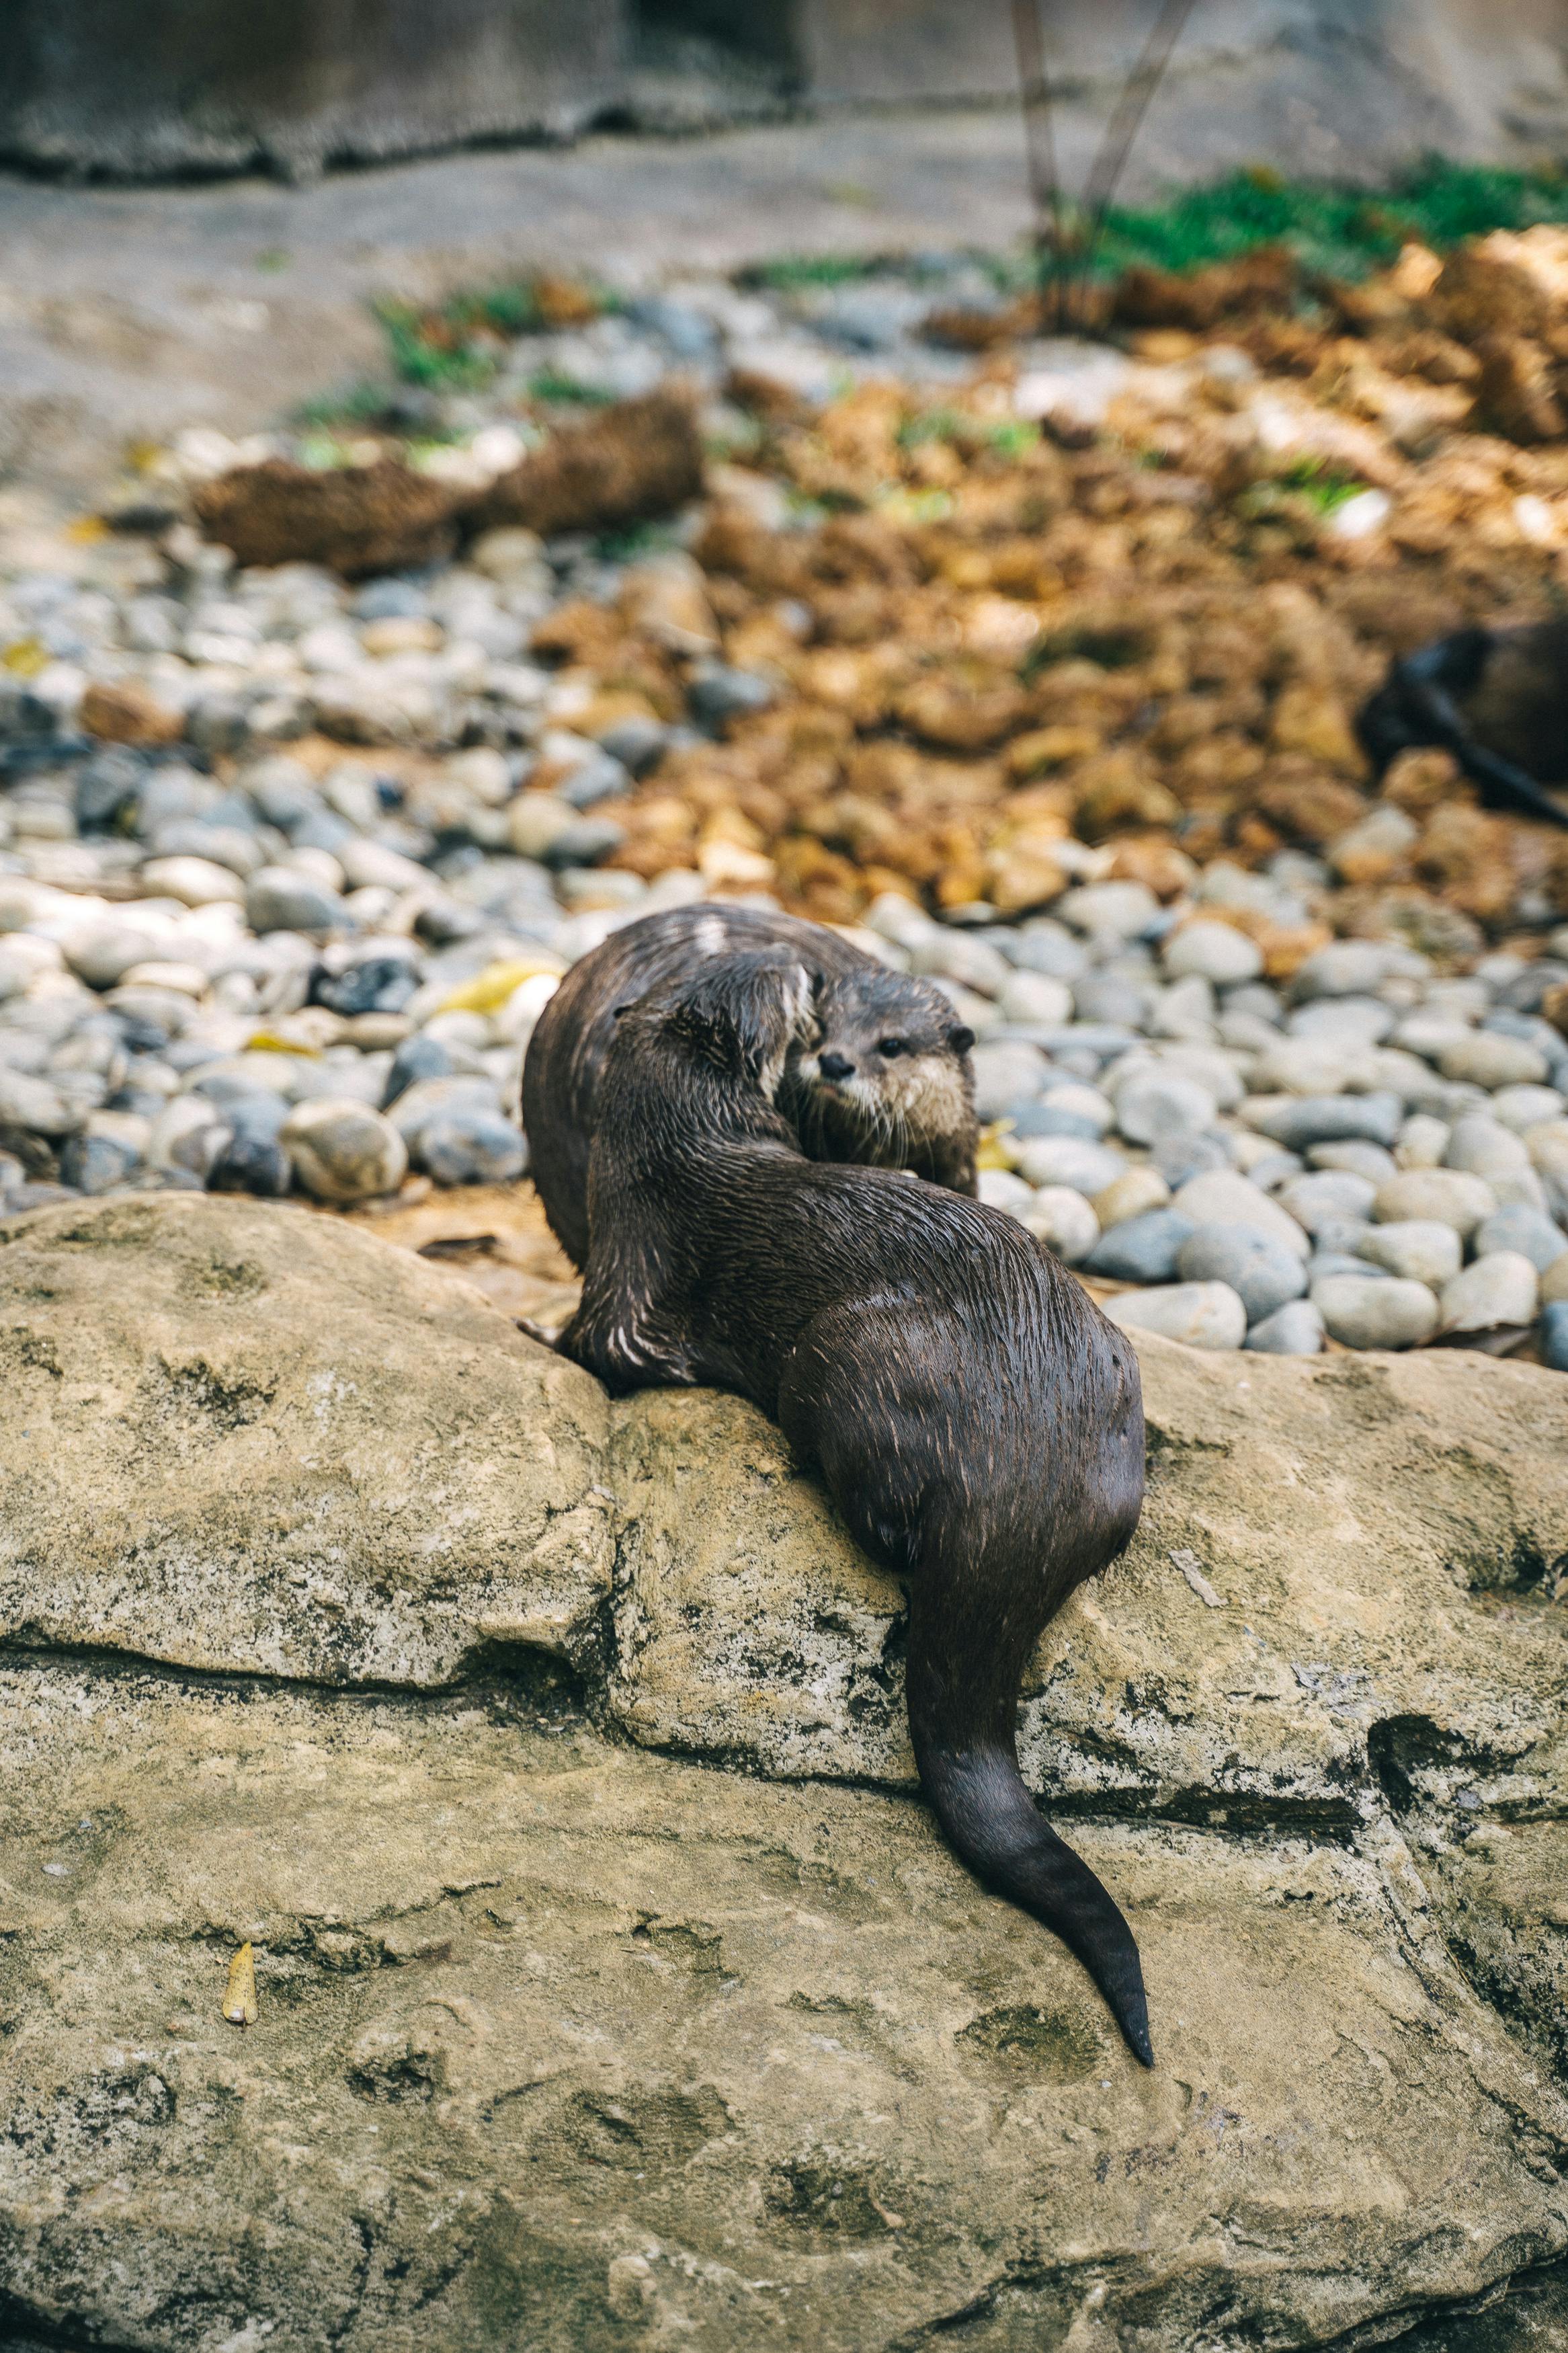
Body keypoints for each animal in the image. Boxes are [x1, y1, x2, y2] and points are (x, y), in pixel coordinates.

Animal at [564, 946, 1151, 2071]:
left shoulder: (628, 1281)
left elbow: (608, 1352)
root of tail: (1017, 1462)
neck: (671, 1146)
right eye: (788, 989)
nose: (800, 955)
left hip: (838, 1360)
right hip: (1107, 1381)